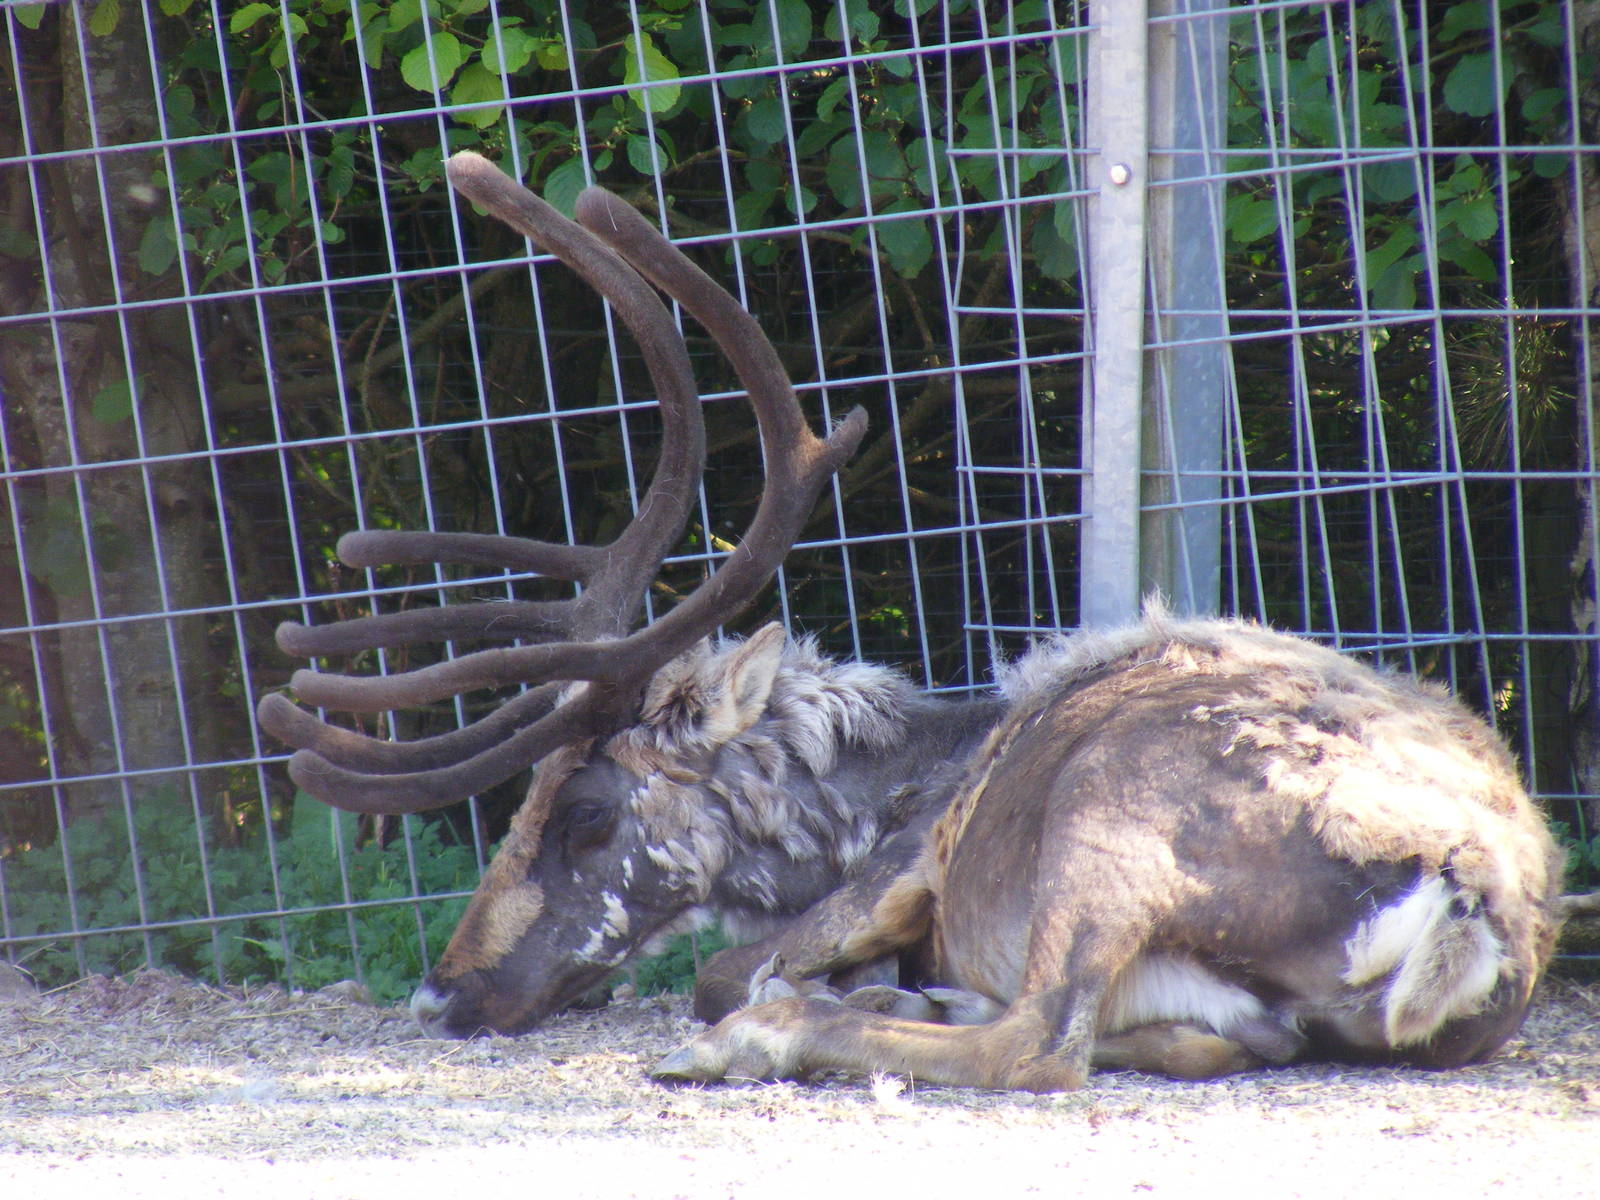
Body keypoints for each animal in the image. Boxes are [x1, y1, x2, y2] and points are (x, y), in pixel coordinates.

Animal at [257, 150, 1567, 1092]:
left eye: (583, 814)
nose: (440, 993)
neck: (891, 780)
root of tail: (1469, 897)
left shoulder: (899, 868)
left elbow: (721, 967)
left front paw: (787, 1003)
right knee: (1200, 1035)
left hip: (1109, 819)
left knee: (1041, 1041)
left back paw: (772, 1037)